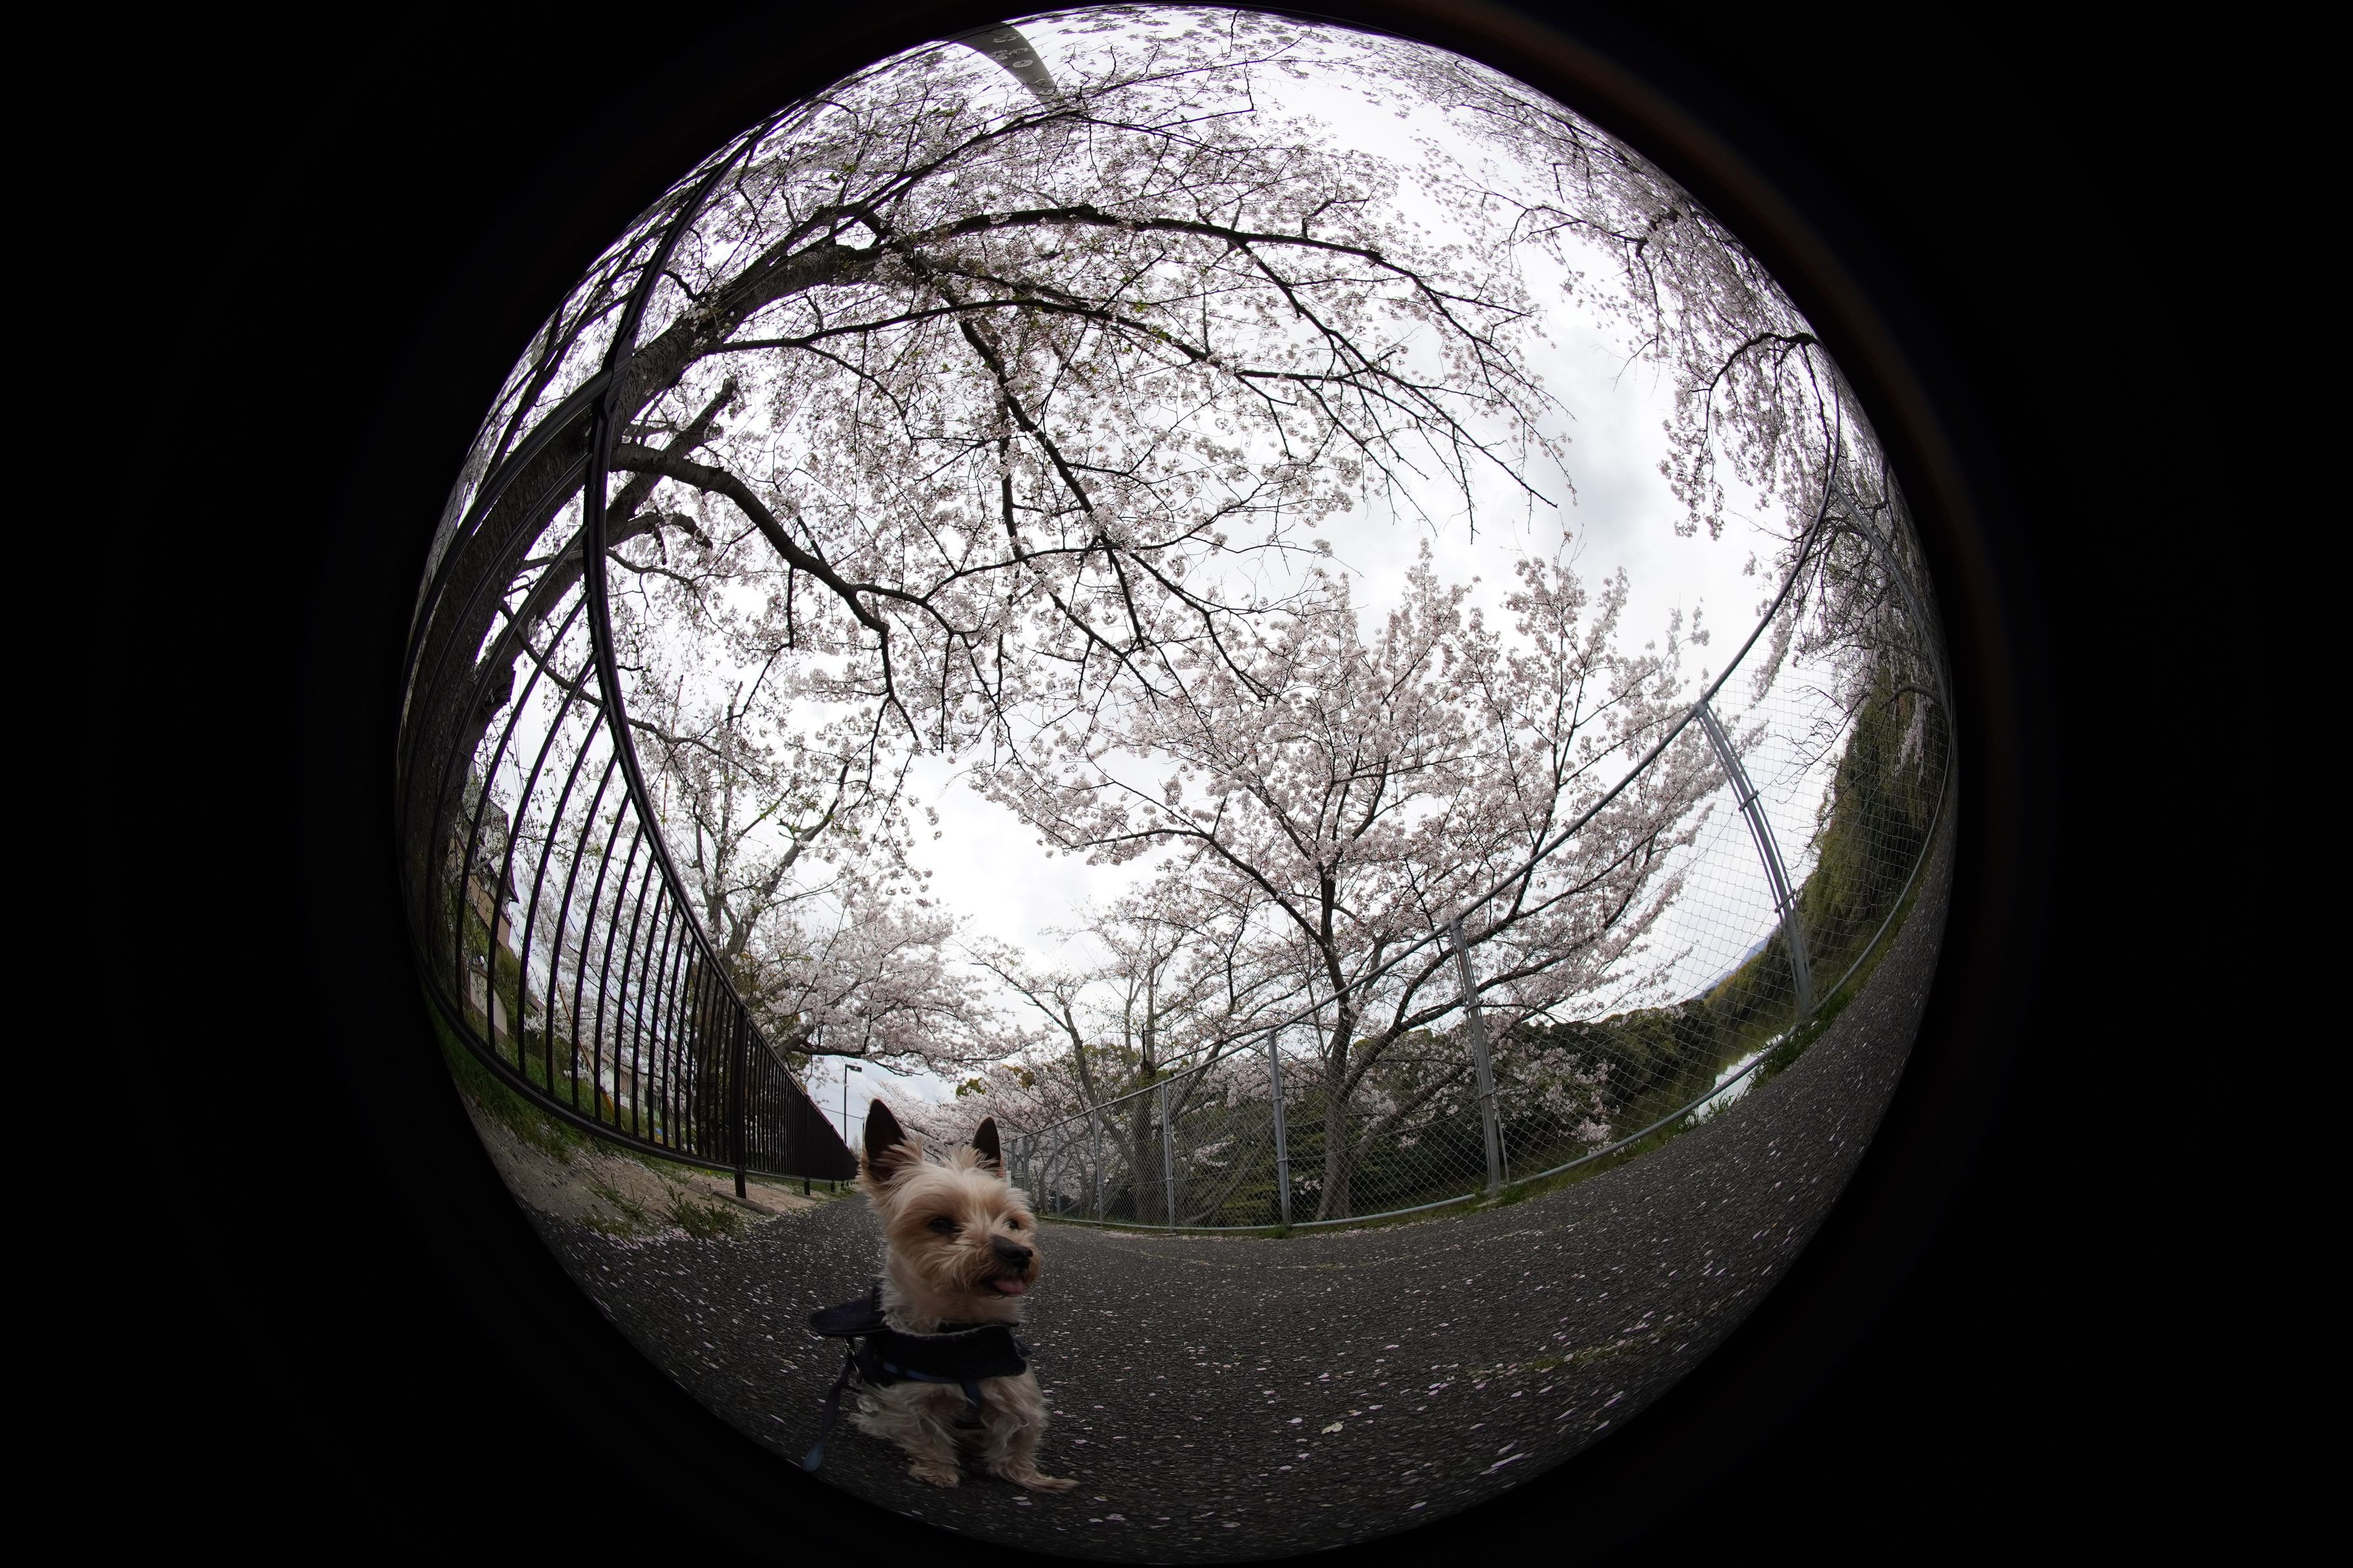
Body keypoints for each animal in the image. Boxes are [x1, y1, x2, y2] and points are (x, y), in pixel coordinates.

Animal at [848, 1100, 1078, 1492]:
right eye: (939, 1223)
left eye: (1012, 1223)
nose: (1018, 1253)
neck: (960, 1327)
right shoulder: (910, 1396)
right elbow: (924, 1433)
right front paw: (938, 1471)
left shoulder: (1015, 1390)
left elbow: (1020, 1436)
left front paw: (1032, 1478)